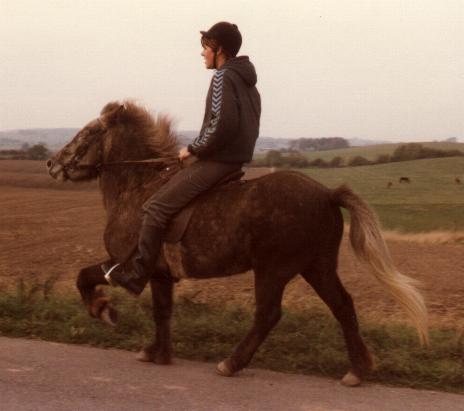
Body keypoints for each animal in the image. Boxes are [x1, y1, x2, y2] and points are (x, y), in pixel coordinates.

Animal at [47, 101, 428, 388]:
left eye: (88, 132)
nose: (52, 163)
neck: (138, 187)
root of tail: (327, 194)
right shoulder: (160, 274)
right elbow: (162, 311)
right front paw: (158, 353)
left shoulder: (127, 263)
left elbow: (85, 277)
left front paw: (103, 310)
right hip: (316, 266)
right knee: (343, 306)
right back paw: (357, 370)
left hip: (274, 270)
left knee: (268, 314)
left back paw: (232, 362)